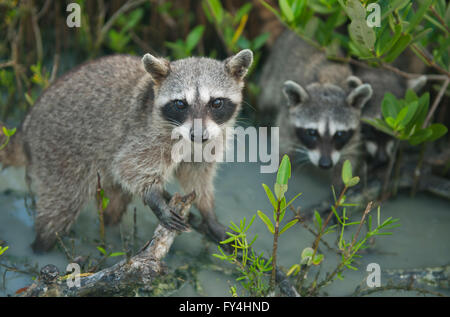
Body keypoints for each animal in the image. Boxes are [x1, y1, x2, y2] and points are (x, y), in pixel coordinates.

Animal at [1, 50, 251, 252]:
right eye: (181, 104)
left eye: (216, 102)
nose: (198, 135)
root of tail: (26, 125)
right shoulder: (145, 133)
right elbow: (128, 166)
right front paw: (154, 197)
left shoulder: (213, 136)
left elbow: (197, 175)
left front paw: (208, 213)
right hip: (59, 152)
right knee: (61, 206)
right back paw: (41, 245)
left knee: (115, 199)